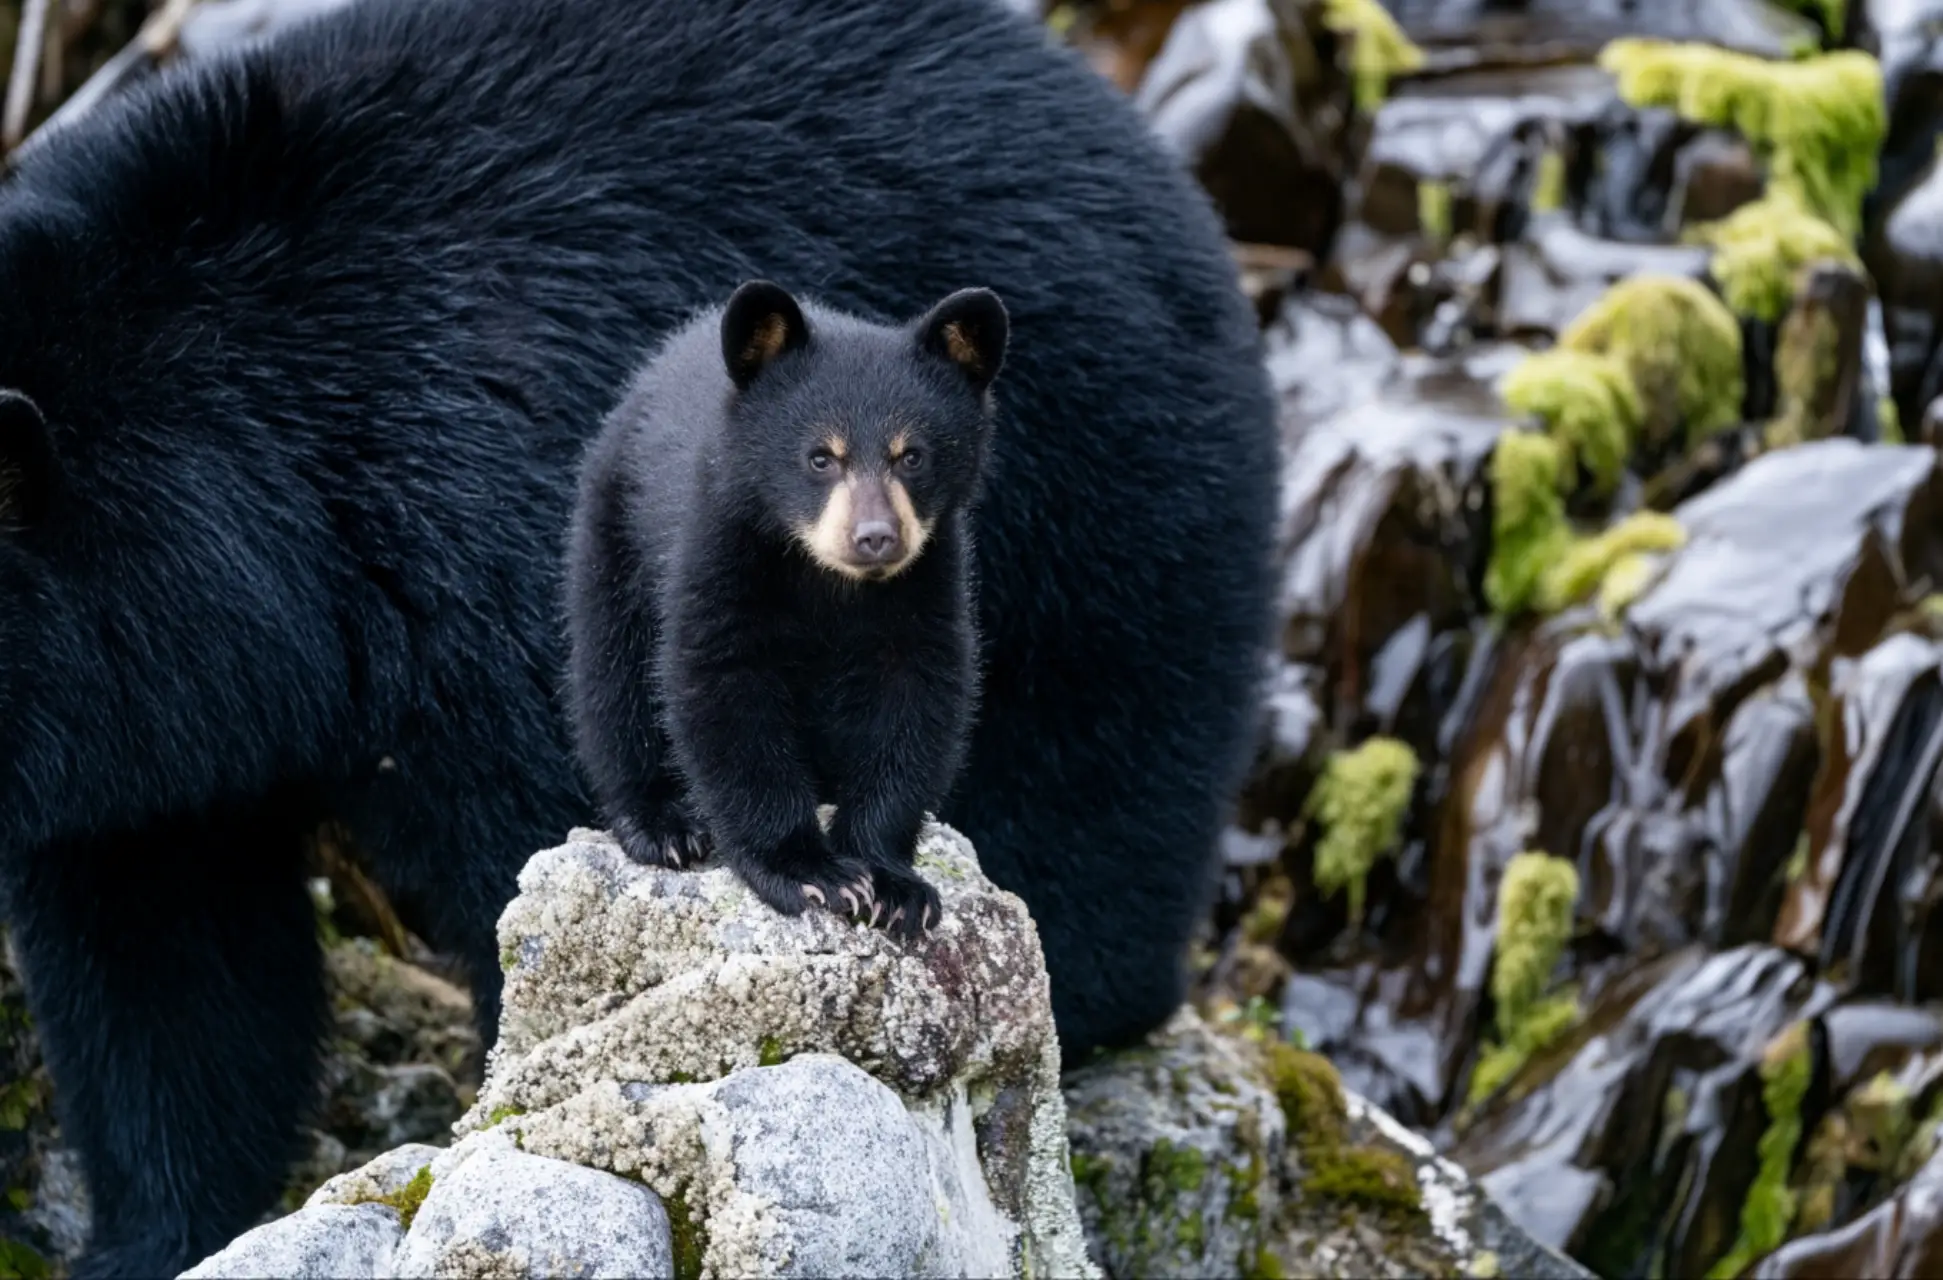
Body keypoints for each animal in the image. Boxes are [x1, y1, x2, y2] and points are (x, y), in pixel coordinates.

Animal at [566, 280, 1008, 939]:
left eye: (913, 456)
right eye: (821, 457)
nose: (875, 538)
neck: (830, 580)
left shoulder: (928, 578)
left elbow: (915, 697)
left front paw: (894, 884)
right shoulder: (722, 544)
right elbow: (724, 687)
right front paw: (811, 872)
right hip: (615, 527)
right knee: (611, 675)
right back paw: (662, 824)